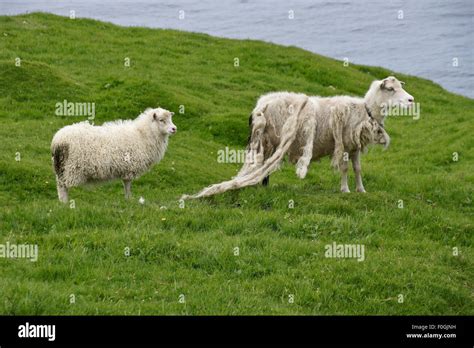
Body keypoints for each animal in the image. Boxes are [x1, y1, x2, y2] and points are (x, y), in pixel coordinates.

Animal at [182, 77, 412, 200]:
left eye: (400, 86)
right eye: (391, 89)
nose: (411, 100)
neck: (366, 110)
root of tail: (260, 105)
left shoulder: (354, 147)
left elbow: (357, 169)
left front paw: (361, 190)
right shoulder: (344, 145)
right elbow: (345, 168)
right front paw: (345, 190)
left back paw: (261, 185)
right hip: (271, 138)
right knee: (264, 166)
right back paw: (262, 186)